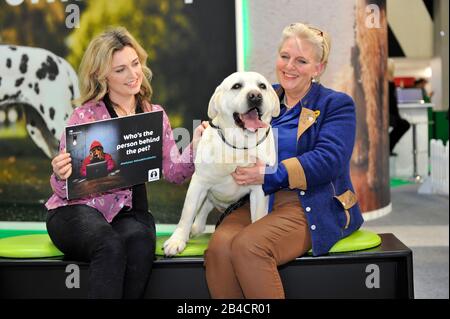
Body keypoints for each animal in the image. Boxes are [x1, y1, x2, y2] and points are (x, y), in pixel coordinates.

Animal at [163, 72, 280, 258]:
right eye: (237, 86)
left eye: (262, 86)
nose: (255, 96)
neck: (240, 146)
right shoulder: (199, 182)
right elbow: (186, 214)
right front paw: (177, 240)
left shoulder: (259, 190)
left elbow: (259, 216)